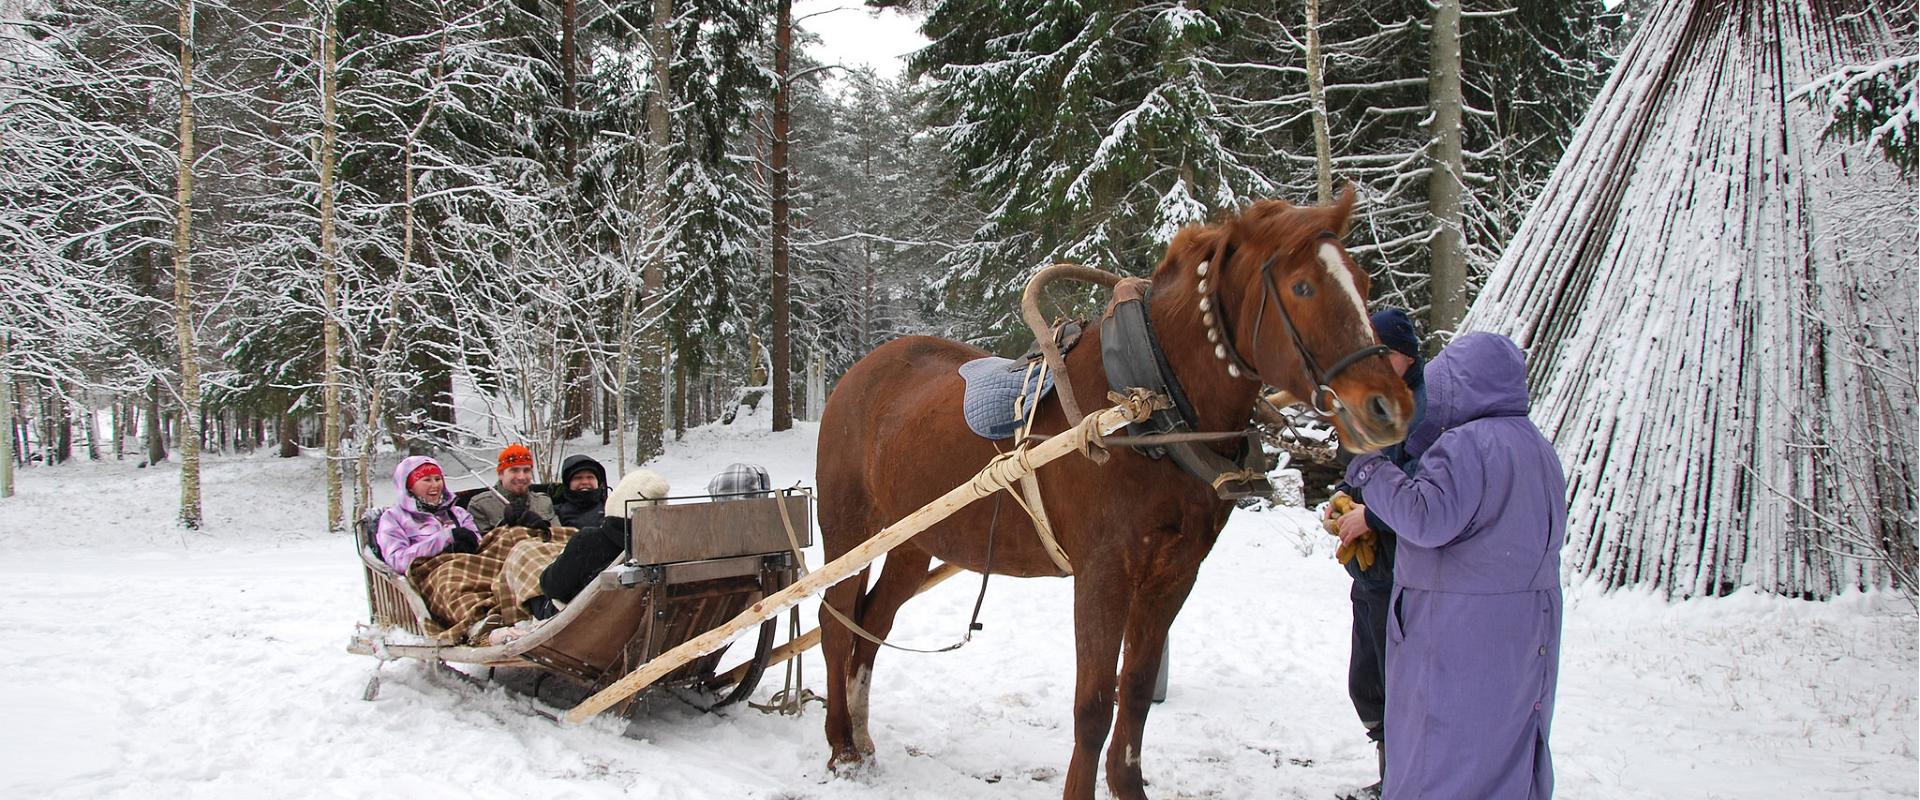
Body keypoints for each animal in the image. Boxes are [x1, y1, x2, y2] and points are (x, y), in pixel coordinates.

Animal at [813, 188, 1413, 800]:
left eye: (1364, 282)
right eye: (1303, 287)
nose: (1387, 408)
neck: (1145, 406)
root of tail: (857, 373)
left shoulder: (1172, 576)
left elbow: (1137, 693)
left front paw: (1129, 783)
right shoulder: (1103, 575)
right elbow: (1095, 707)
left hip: (915, 539)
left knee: (873, 621)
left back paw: (862, 737)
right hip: (849, 530)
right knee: (833, 620)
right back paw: (841, 745)